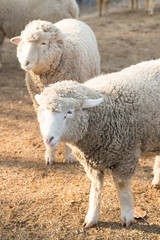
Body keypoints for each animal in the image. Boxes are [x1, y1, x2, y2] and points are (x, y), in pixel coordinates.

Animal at [10, 18, 100, 165]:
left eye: (43, 43)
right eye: (23, 42)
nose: (25, 63)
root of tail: (72, 19)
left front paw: (69, 155)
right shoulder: (39, 104)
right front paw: (49, 155)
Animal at [34, 59, 160, 228]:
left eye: (70, 112)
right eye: (43, 111)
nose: (48, 138)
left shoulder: (126, 157)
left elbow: (122, 187)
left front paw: (127, 216)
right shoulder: (91, 163)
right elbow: (96, 188)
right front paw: (92, 218)